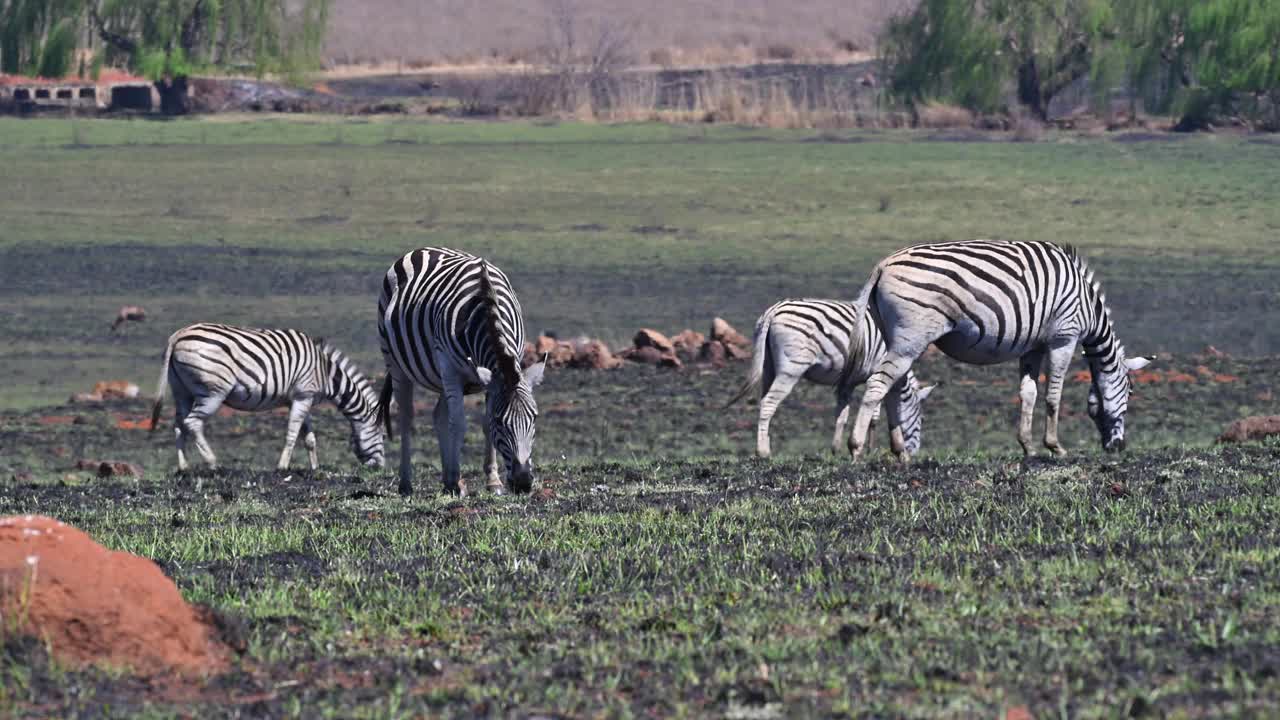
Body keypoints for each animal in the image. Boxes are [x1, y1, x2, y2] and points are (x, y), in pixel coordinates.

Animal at [147, 320, 381, 468]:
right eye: (381, 436)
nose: (380, 466)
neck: (325, 372)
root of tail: (178, 334)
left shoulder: (301, 399)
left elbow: (309, 438)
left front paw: (315, 469)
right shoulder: (303, 395)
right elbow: (293, 434)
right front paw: (283, 466)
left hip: (181, 390)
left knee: (179, 424)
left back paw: (184, 467)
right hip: (213, 392)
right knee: (193, 423)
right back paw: (213, 463)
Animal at [373, 244, 545, 491]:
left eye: (535, 418)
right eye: (500, 422)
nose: (523, 482)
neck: (487, 301)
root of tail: (423, 248)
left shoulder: (494, 375)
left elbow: (481, 424)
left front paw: (492, 480)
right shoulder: (450, 366)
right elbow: (459, 424)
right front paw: (455, 480)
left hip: (442, 376)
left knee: (439, 415)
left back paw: (446, 477)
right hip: (397, 361)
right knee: (407, 417)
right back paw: (407, 483)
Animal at [727, 298, 936, 456]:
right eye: (922, 419)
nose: (915, 453)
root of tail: (774, 310)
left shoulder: (847, 382)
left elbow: (842, 415)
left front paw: (836, 450)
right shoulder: (876, 374)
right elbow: (875, 415)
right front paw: (872, 450)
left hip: (768, 367)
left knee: (764, 400)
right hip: (791, 368)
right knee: (769, 403)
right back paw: (763, 452)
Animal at [839, 238, 1152, 456]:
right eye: (1131, 392)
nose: (1118, 448)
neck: (1087, 306)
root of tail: (884, 264)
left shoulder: (1033, 346)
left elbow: (1028, 394)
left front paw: (1027, 447)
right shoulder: (1064, 335)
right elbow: (1053, 395)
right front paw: (1055, 446)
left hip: (895, 338)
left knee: (891, 390)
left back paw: (900, 453)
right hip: (910, 339)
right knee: (877, 386)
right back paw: (856, 448)